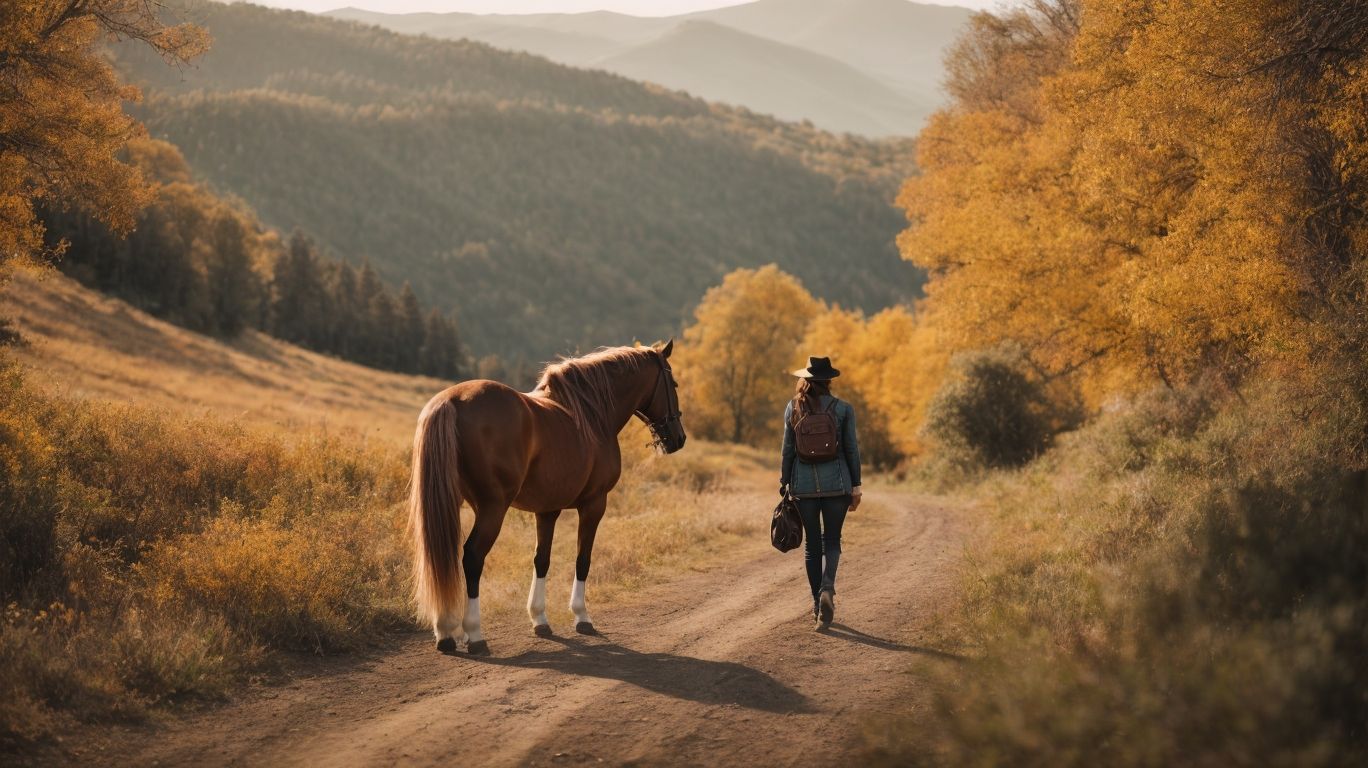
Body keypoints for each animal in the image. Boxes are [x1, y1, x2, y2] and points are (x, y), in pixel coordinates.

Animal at [408, 340, 686, 655]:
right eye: (673, 383)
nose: (678, 439)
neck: (592, 414)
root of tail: (451, 401)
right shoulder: (594, 504)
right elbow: (583, 559)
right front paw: (581, 616)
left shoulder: (547, 510)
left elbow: (542, 559)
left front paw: (539, 618)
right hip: (492, 508)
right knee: (473, 557)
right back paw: (474, 633)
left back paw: (445, 632)